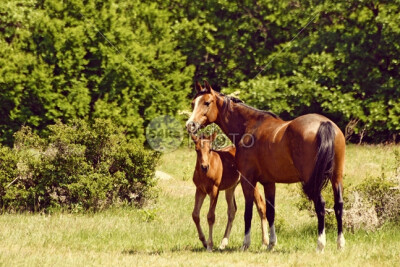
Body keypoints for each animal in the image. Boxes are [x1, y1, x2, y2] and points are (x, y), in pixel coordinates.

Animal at [186, 80, 346, 252]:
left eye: (207, 102)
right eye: (193, 103)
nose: (190, 125)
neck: (249, 126)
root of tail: (325, 123)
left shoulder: (248, 180)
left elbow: (248, 212)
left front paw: (245, 244)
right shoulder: (269, 182)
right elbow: (270, 212)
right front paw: (271, 244)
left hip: (313, 180)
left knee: (320, 205)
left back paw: (320, 245)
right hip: (336, 177)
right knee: (338, 205)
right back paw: (340, 244)